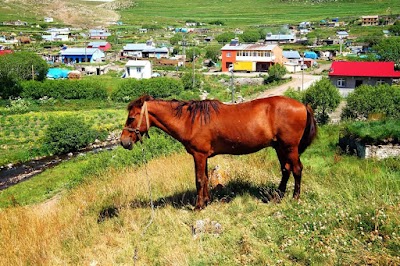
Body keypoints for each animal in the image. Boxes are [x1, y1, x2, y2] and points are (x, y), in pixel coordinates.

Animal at [120, 94, 318, 209]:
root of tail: (302, 105)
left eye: (131, 118)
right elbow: (206, 178)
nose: (123, 141)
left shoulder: (199, 155)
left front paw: (199, 206)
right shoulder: (204, 156)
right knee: (285, 170)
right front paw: (207, 201)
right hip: (279, 147)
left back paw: (295, 198)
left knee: (296, 169)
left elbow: (199, 180)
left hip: (289, 148)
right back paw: (277, 196)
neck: (189, 120)